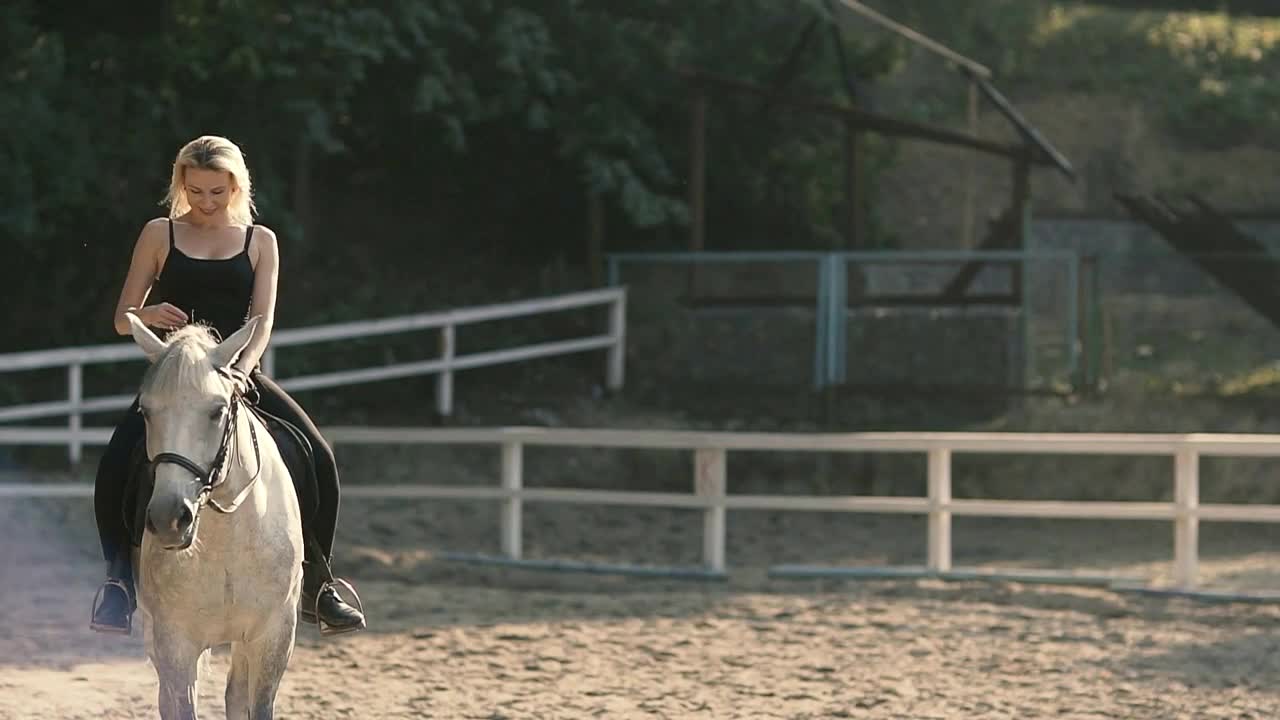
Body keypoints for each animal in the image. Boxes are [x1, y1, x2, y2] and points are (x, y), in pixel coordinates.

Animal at [128, 313, 304, 717]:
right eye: (146, 412)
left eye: (217, 411)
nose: (169, 519)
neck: (227, 536)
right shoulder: (174, 642)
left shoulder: (274, 634)